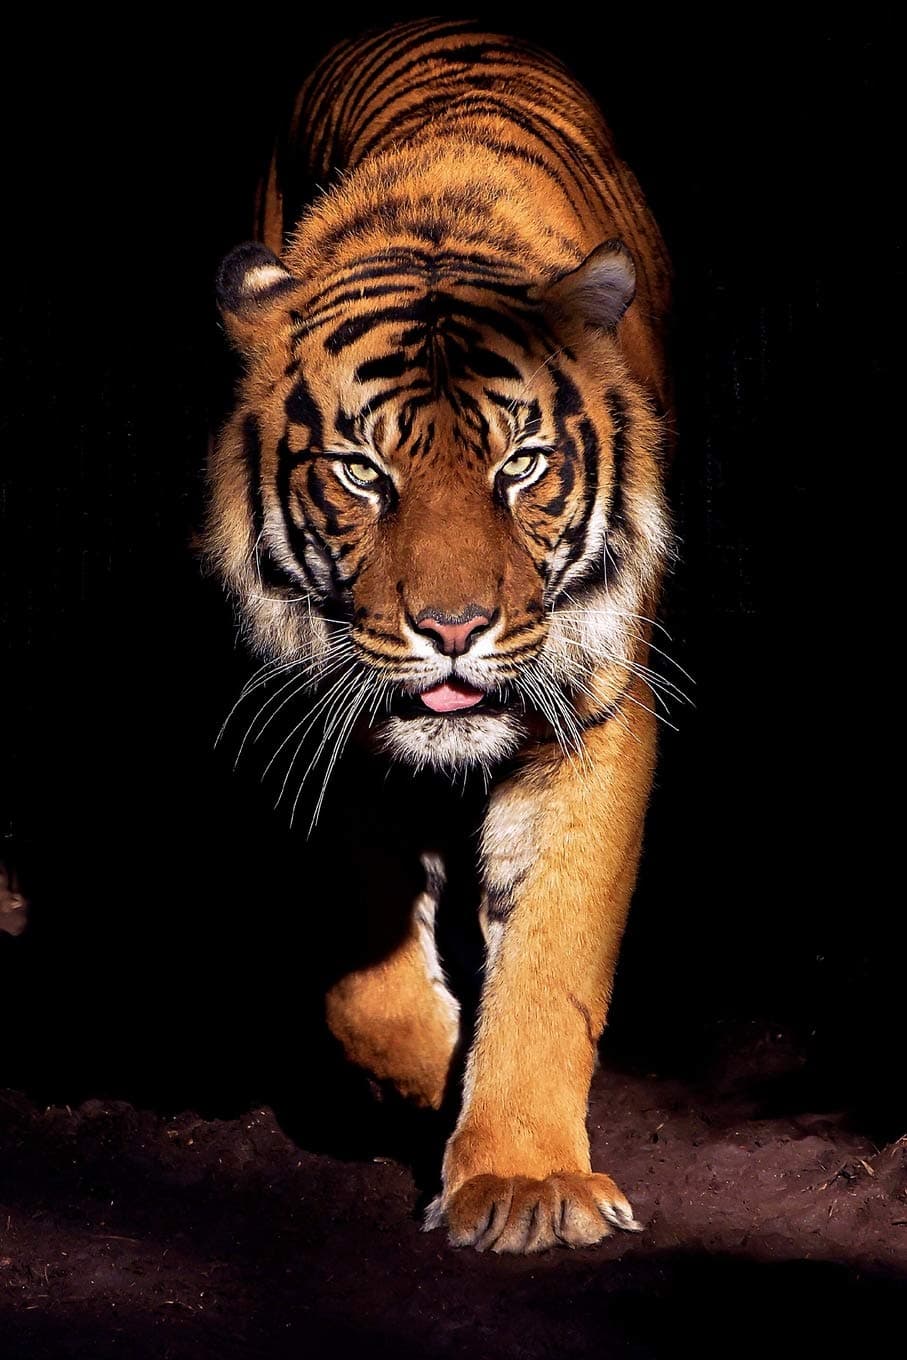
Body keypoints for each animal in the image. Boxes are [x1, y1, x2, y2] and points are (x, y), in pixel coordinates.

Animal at [206, 17, 673, 1254]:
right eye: (364, 473)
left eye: (522, 464)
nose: (454, 627)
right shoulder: (327, 710)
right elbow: (361, 976)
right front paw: (427, 1077)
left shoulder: (593, 712)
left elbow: (552, 959)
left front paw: (522, 1180)